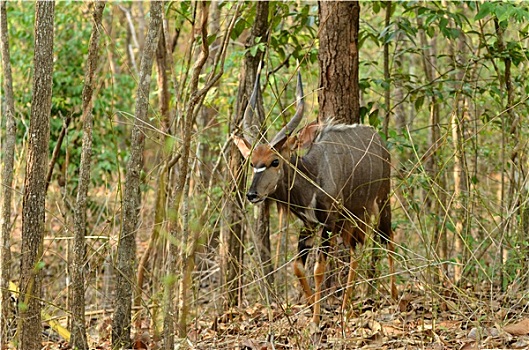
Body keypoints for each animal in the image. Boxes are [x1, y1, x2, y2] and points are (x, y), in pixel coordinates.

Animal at [232, 71, 396, 326]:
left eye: (275, 161)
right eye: (252, 162)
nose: (252, 194)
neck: (313, 177)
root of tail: (378, 138)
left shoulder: (327, 223)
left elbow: (318, 268)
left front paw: (316, 319)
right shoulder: (309, 225)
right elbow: (298, 267)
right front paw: (312, 307)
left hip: (381, 199)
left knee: (387, 237)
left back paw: (396, 298)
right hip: (350, 218)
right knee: (355, 250)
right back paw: (346, 308)